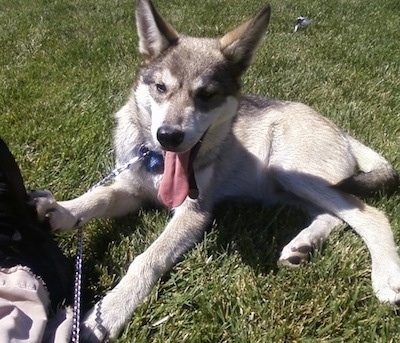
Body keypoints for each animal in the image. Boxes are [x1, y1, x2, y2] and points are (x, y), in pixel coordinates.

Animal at [32, 1, 400, 342]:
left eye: (206, 95)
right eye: (161, 88)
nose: (168, 136)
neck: (157, 164)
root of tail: (343, 132)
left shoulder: (194, 212)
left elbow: (147, 258)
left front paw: (107, 312)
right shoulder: (130, 189)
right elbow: (98, 198)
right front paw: (61, 211)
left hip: (290, 173)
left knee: (369, 214)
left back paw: (385, 277)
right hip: (279, 190)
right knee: (333, 215)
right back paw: (302, 246)